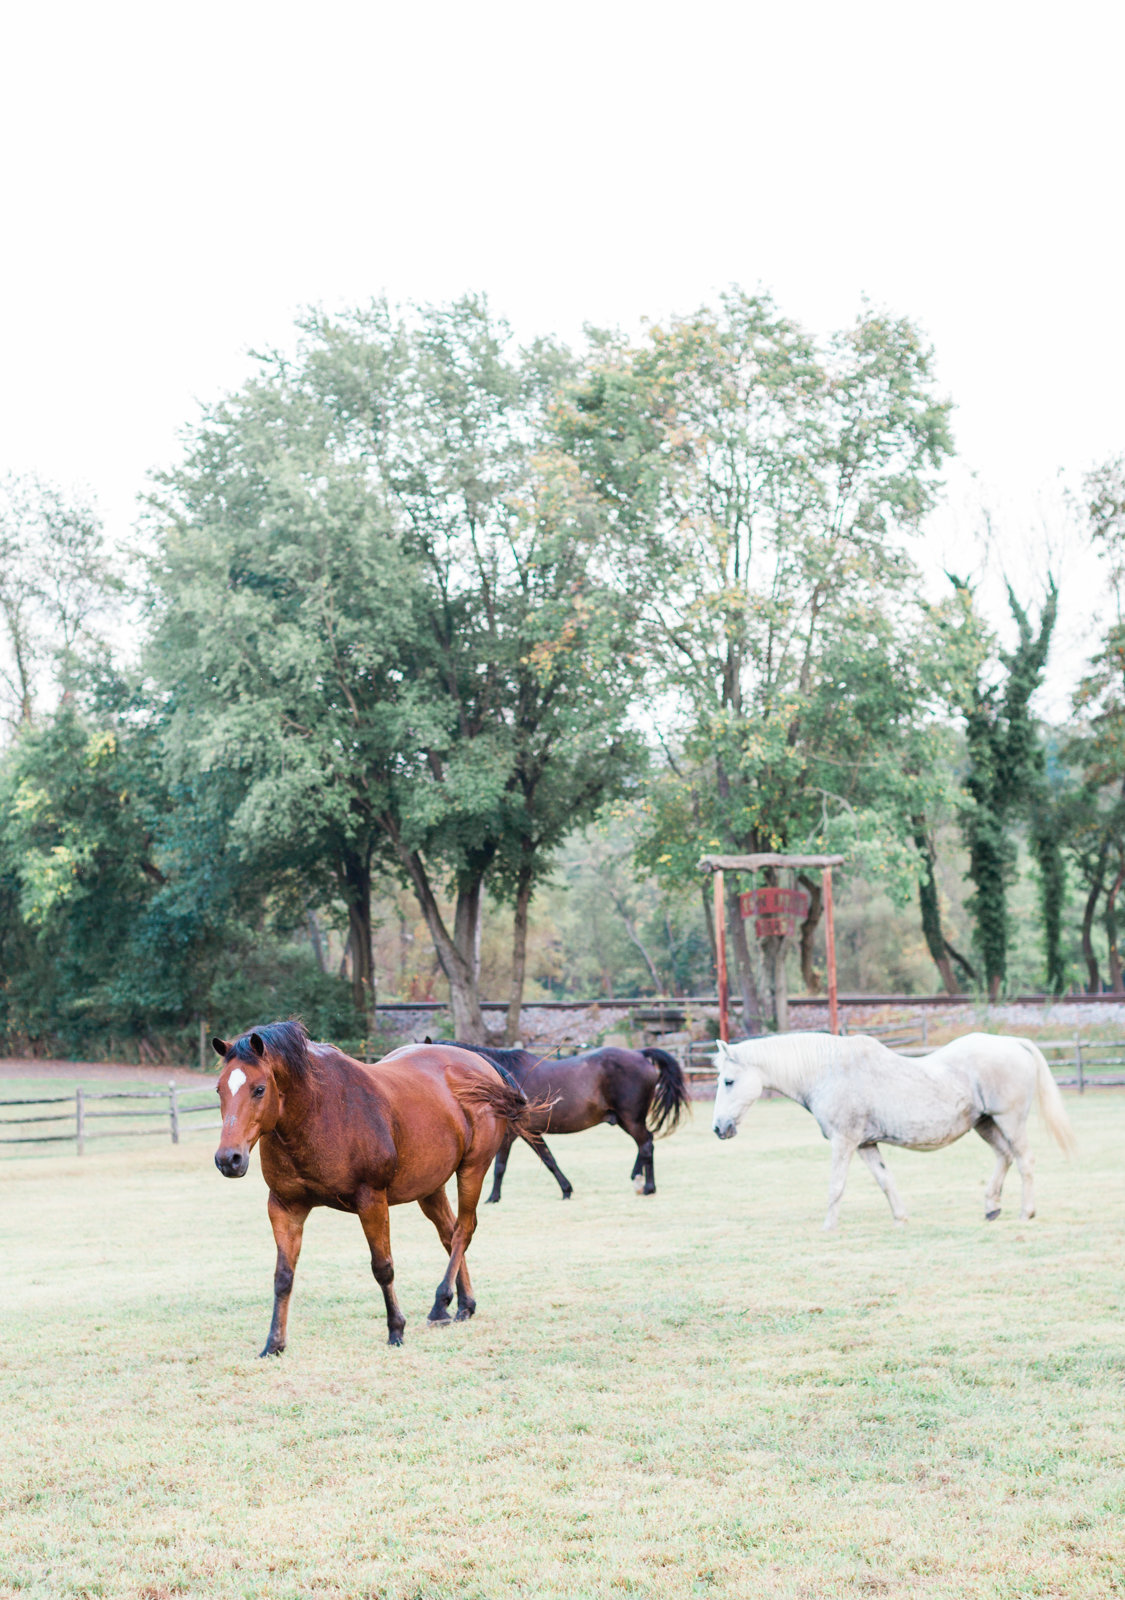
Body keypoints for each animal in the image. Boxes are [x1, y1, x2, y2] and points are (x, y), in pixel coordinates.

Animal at [212, 1024, 537, 1350]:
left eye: (259, 1089)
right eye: (219, 1090)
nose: (229, 1159)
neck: (317, 1112)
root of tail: (480, 1064)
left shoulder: (371, 1200)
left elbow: (382, 1267)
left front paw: (396, 1329)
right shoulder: (284, 1206)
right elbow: (283, 1276)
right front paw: (273, 1343)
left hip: (472, 1169)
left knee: (463, 1231)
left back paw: (440, 1303)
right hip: (430, 1187)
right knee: (449, 1232)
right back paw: (463, 1305)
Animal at [444, 1049, 691, 1203]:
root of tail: (640, 1054)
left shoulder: (510, 1135)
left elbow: (500, 1167)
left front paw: (492, 1197)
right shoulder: (532, 1132)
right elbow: (549, 1159)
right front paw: (566, 1190)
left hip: (631, 1118)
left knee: (646, 1144)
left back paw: (648, 1187)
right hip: (626, 1120)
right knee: (644, 1143)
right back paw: (637, 1178)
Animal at [713, 1030, 1075, 1228]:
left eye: (728, 1081)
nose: (718, 1127)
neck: (830, 1072)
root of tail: (1013, 1043)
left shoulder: (844, 1142)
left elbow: (836, 1186)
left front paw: (828, 1226)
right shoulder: (864, 1144)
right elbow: (885, 1180)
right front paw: (900, 1217)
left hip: (1009, 1120)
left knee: (1024, 1160)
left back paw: (1026, 1212)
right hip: (985, 1124)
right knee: (1005, 1156)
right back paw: (992, 1207)